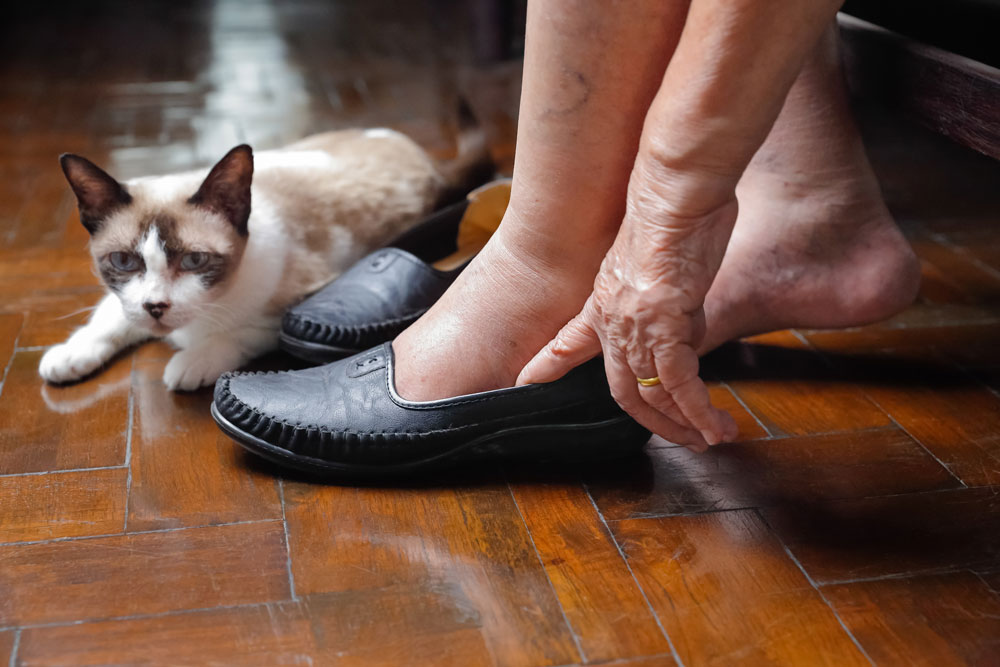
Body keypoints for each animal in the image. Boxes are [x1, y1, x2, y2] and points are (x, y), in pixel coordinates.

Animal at [40, 115, 492, 392]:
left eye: (194, 261)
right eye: (123, 261)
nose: (156, 307)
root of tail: (415, 149)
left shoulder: (293, 309)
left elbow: (239, 334)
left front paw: (190, 363)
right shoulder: (126, 302)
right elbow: (108, 318)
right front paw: (68, 357)